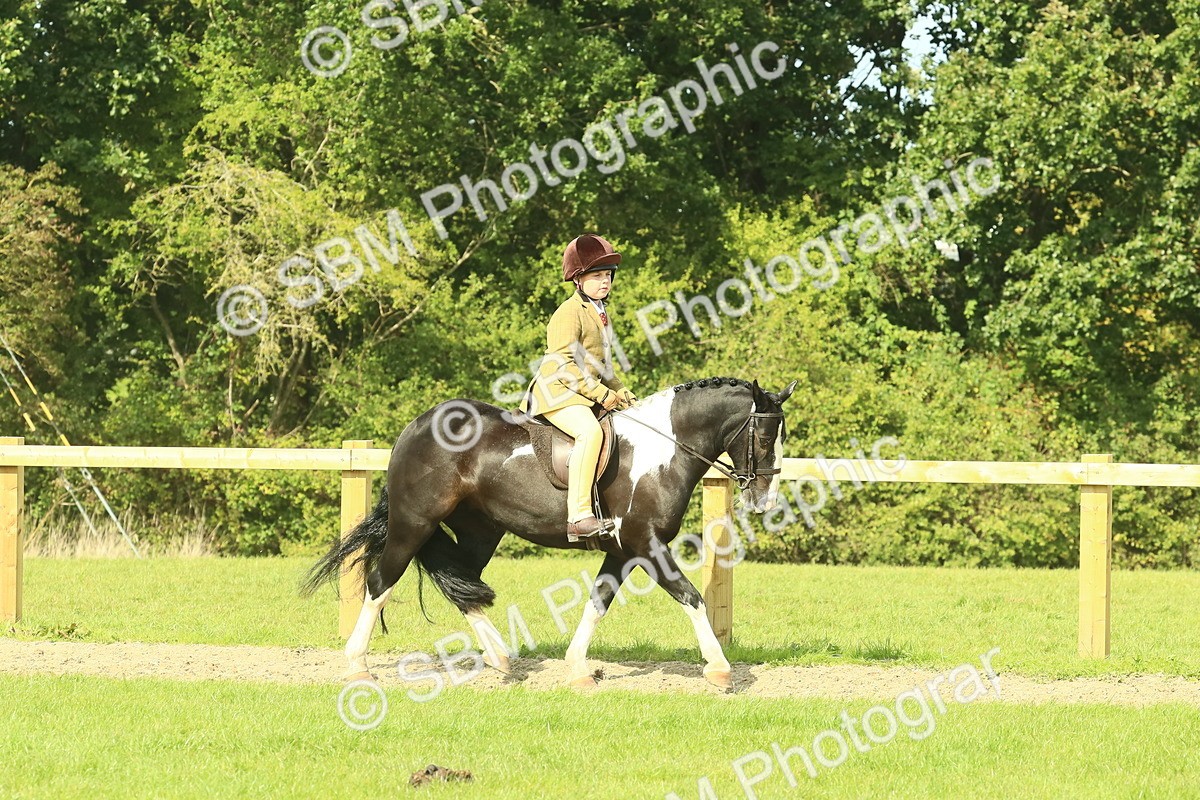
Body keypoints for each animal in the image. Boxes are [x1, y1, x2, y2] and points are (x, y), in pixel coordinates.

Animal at [303, 376, 796, 689]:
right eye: (764, 439)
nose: (765, 500)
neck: (665, 449)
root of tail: (417, 426)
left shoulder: (623, 550)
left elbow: (598, 601)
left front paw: (578, 669)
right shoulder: (647, 545)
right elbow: (691, 598)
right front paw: (720, 669)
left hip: (480, 530)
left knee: (462, 585)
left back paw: (501, 659)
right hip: (413, 523)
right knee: (380, 582)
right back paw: (358, 667)